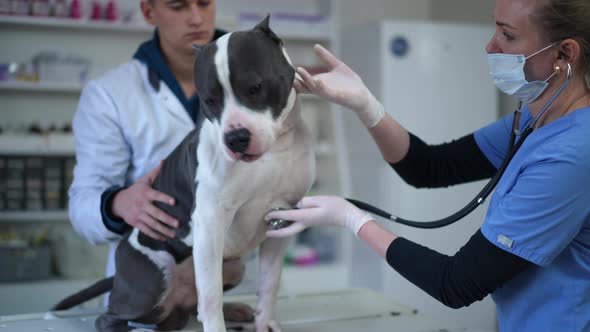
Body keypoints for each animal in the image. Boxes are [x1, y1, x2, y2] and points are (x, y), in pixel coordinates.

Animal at [53, 17, 316, 332]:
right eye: (209, 100)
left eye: (255, 87)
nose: (235, 138)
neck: (273, 151)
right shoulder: (210, 221)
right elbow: (211, 294)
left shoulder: (281, 218)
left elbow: (269, 283)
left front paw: (263, 323)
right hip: (154, 276)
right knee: (115, 314)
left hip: (233, 266)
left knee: (192, 307)